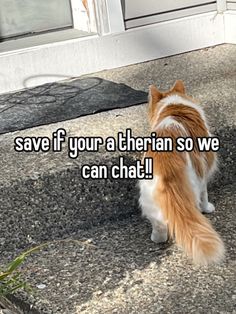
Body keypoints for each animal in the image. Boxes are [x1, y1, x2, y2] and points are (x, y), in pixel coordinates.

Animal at [139, 81, 226, 264]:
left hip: (147, 195)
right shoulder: (203, 171)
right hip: (192, 187)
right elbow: (205, 195)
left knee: (159, 224)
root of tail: (166, 163)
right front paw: (208, 208)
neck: (174, 107)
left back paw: (157, 238)